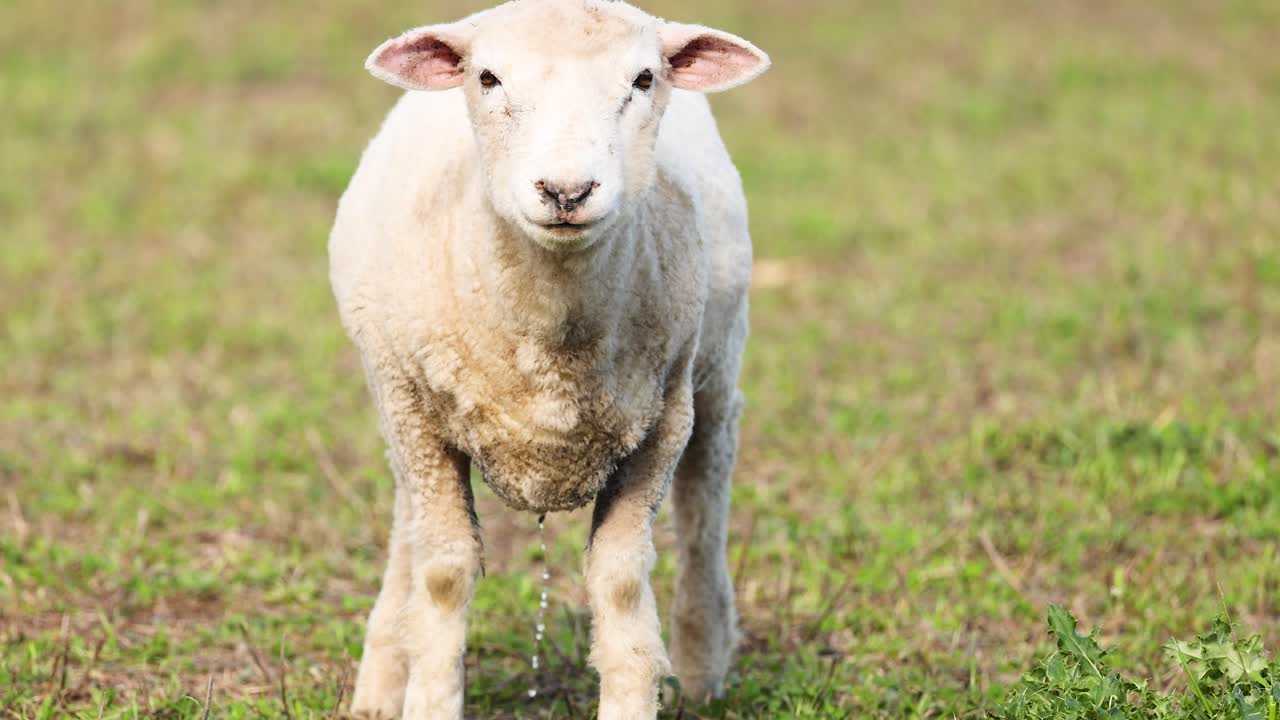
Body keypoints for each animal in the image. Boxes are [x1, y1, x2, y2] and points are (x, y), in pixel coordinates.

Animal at [328, 1, 769, 717]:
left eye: (644, 78)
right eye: (487, 77)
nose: (567, 191)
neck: (551, 346)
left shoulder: (660, 424)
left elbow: (620, 581)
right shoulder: (417, 414)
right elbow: (444, 570)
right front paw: (426, 693)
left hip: (714, 370)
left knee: (706, 508)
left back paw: (702, 668)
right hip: (396, 398)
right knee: (408, 527)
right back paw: (381, 681)